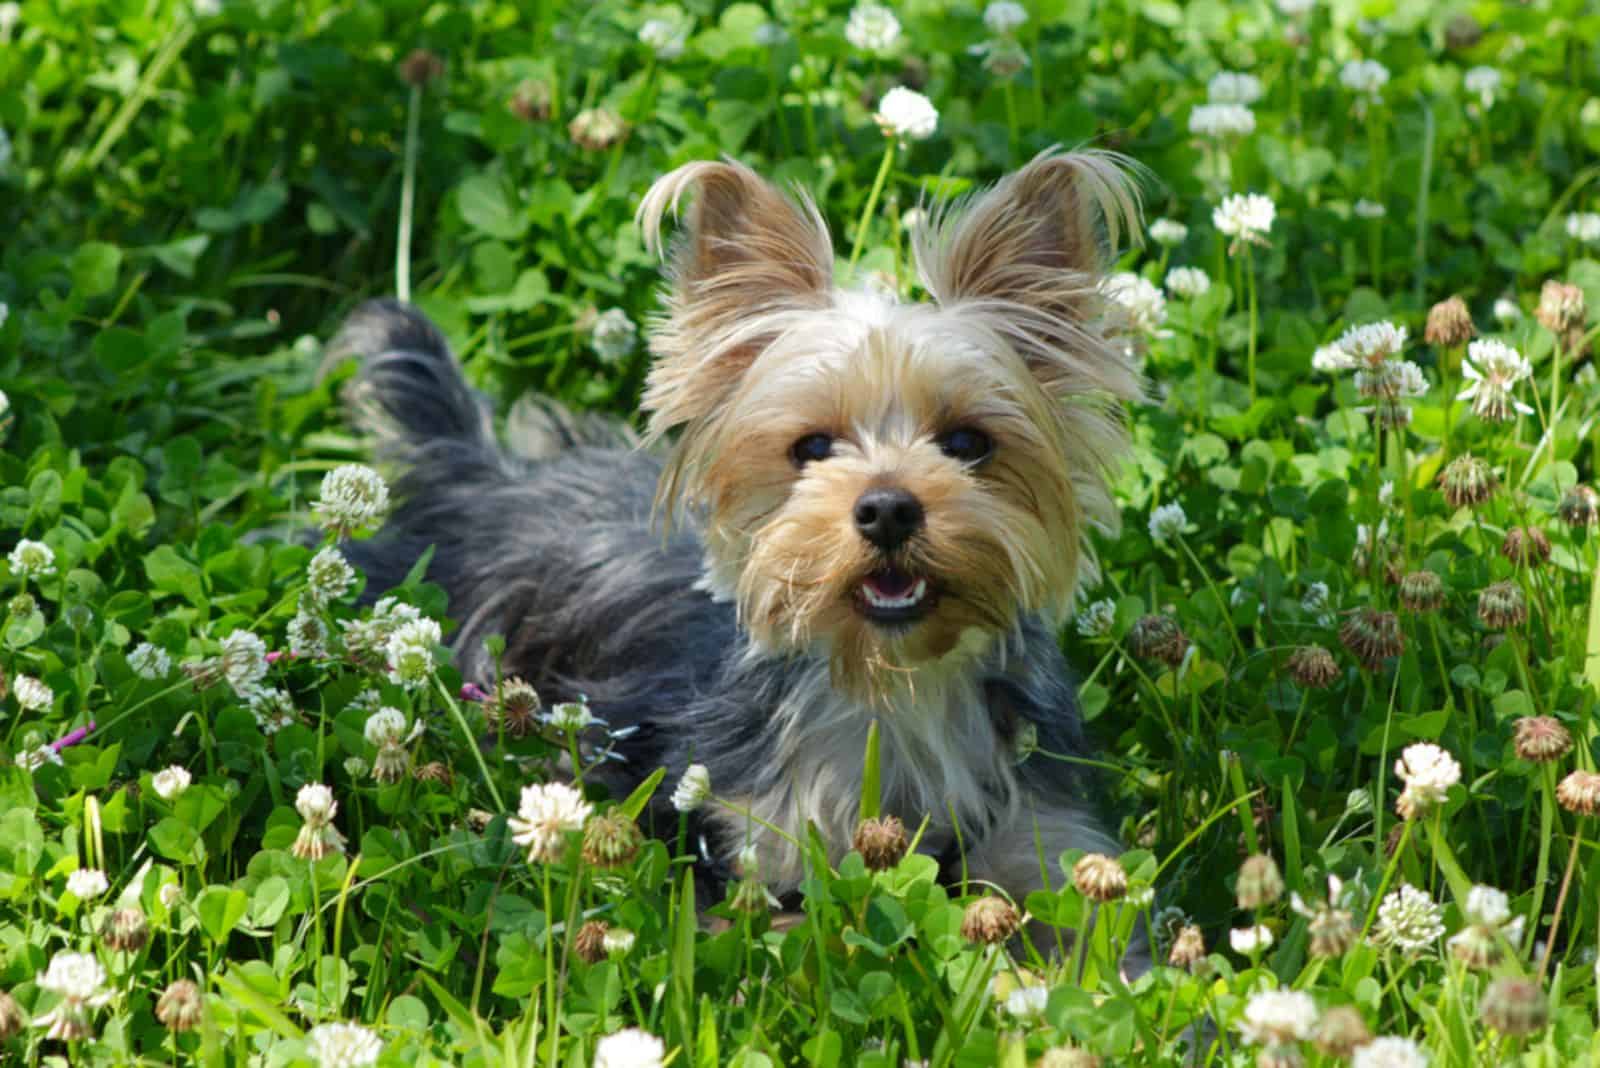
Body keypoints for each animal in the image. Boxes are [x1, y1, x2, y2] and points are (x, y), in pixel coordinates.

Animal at [331, 147, 1145, 940]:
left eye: (969, 443)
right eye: (810, 447)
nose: (887, 509)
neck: (888, 684)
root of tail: (474, 471)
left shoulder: (1046, 834)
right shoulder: (739, 840)